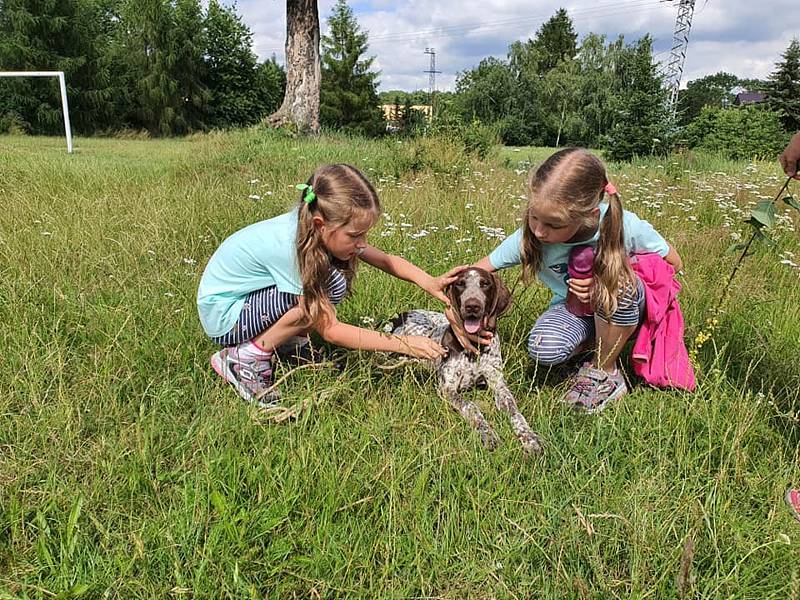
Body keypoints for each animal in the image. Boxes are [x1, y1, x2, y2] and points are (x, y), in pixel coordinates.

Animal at [388, 268, 544, 454]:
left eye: (485, 283)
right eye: (460, 283)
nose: (472, 306)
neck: (475, 346)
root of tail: (398, 316)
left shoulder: (498, 383)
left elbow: (514, 410)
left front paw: (530, 437)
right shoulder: (447, 388)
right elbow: (471, 406)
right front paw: (488, 434)